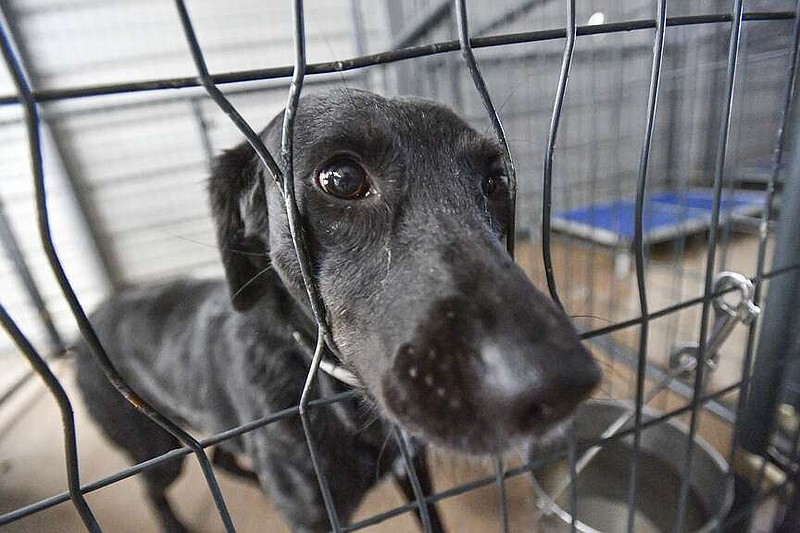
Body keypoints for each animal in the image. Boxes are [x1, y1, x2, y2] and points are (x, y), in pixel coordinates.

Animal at [76, 89, 600, 528]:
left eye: (495, 181)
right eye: (342, 179)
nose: (562, 383)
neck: (339, 395)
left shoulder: (414, 471)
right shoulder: (313, 516)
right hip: (156, 450)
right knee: (153, 491)